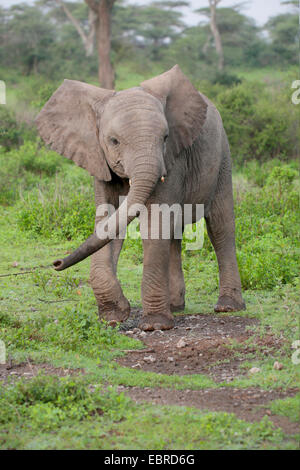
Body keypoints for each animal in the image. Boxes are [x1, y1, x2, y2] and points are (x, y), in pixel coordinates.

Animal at [35, 65, 246, 330]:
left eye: (165, 138)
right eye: (113, 141)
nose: (56, 263)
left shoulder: (173, 159)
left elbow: (154, 224)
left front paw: (155, 325)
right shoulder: (98, 159)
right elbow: (107, 223)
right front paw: (114, 316)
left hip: (223, 157)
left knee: (220, 226)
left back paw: (227, 307)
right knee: (175, 232)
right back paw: (176, 307)